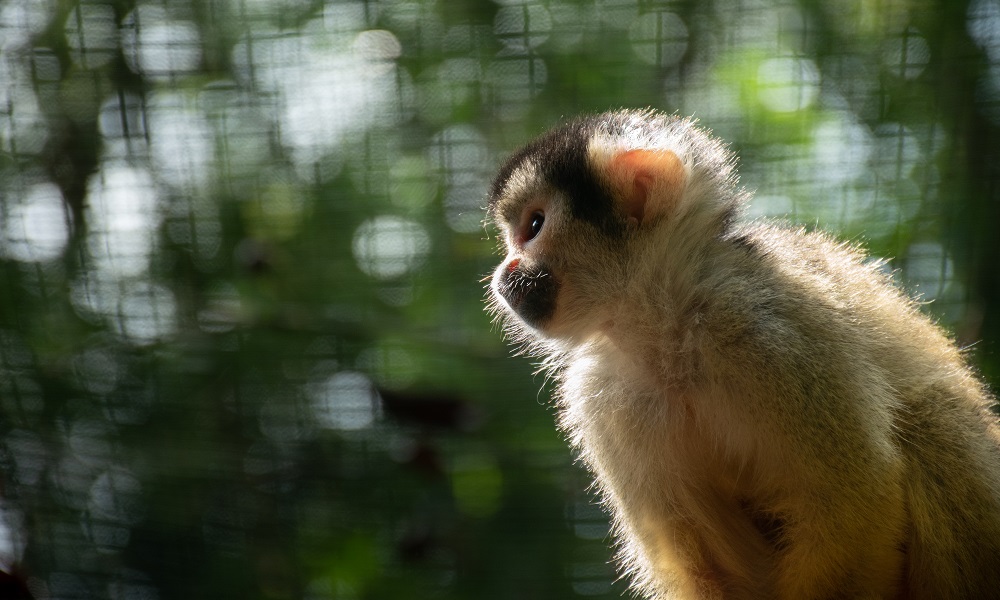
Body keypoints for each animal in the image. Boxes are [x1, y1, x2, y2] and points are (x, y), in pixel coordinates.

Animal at [488, 110, 1000, 596]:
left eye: (533, 226)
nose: (504, 271)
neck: (669, 330)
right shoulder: (602, 400)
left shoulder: (770, 333)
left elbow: (853, 498)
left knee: (932, 417)